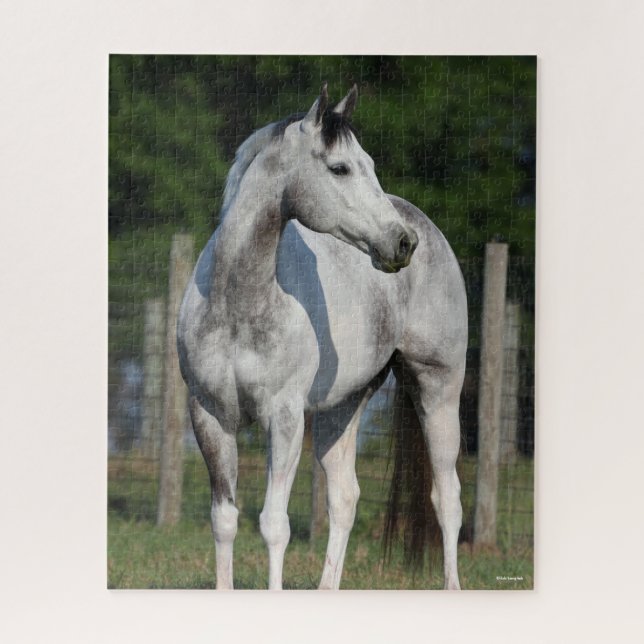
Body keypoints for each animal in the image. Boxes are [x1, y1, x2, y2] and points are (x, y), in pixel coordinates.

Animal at [177, 84, 467, 590]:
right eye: (340, 168)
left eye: (367, 163)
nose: (402, 242)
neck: (237, 304)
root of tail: (428, 228)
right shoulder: (209, 416)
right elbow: (225, 519)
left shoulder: (285, 417)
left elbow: (274, 525)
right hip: (342, 407)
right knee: (344, 497)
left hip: (438, 389)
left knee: (446, 496)